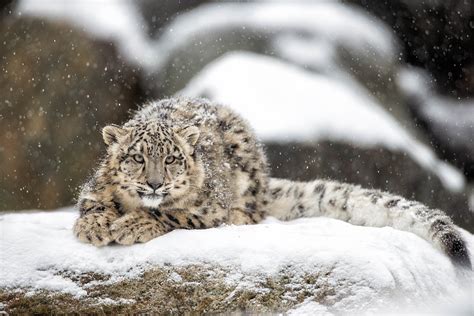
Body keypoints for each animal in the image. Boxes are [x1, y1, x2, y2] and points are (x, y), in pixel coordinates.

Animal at [73, 97, 470, 270]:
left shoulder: (208, 208)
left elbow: (171, 214)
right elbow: (93, 204)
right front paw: (93, 227)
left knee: (251, 214)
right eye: (137, 158)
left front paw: (132, 225)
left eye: (171, 159)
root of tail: (264, 181)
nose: (155, 184)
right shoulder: (93, 190)